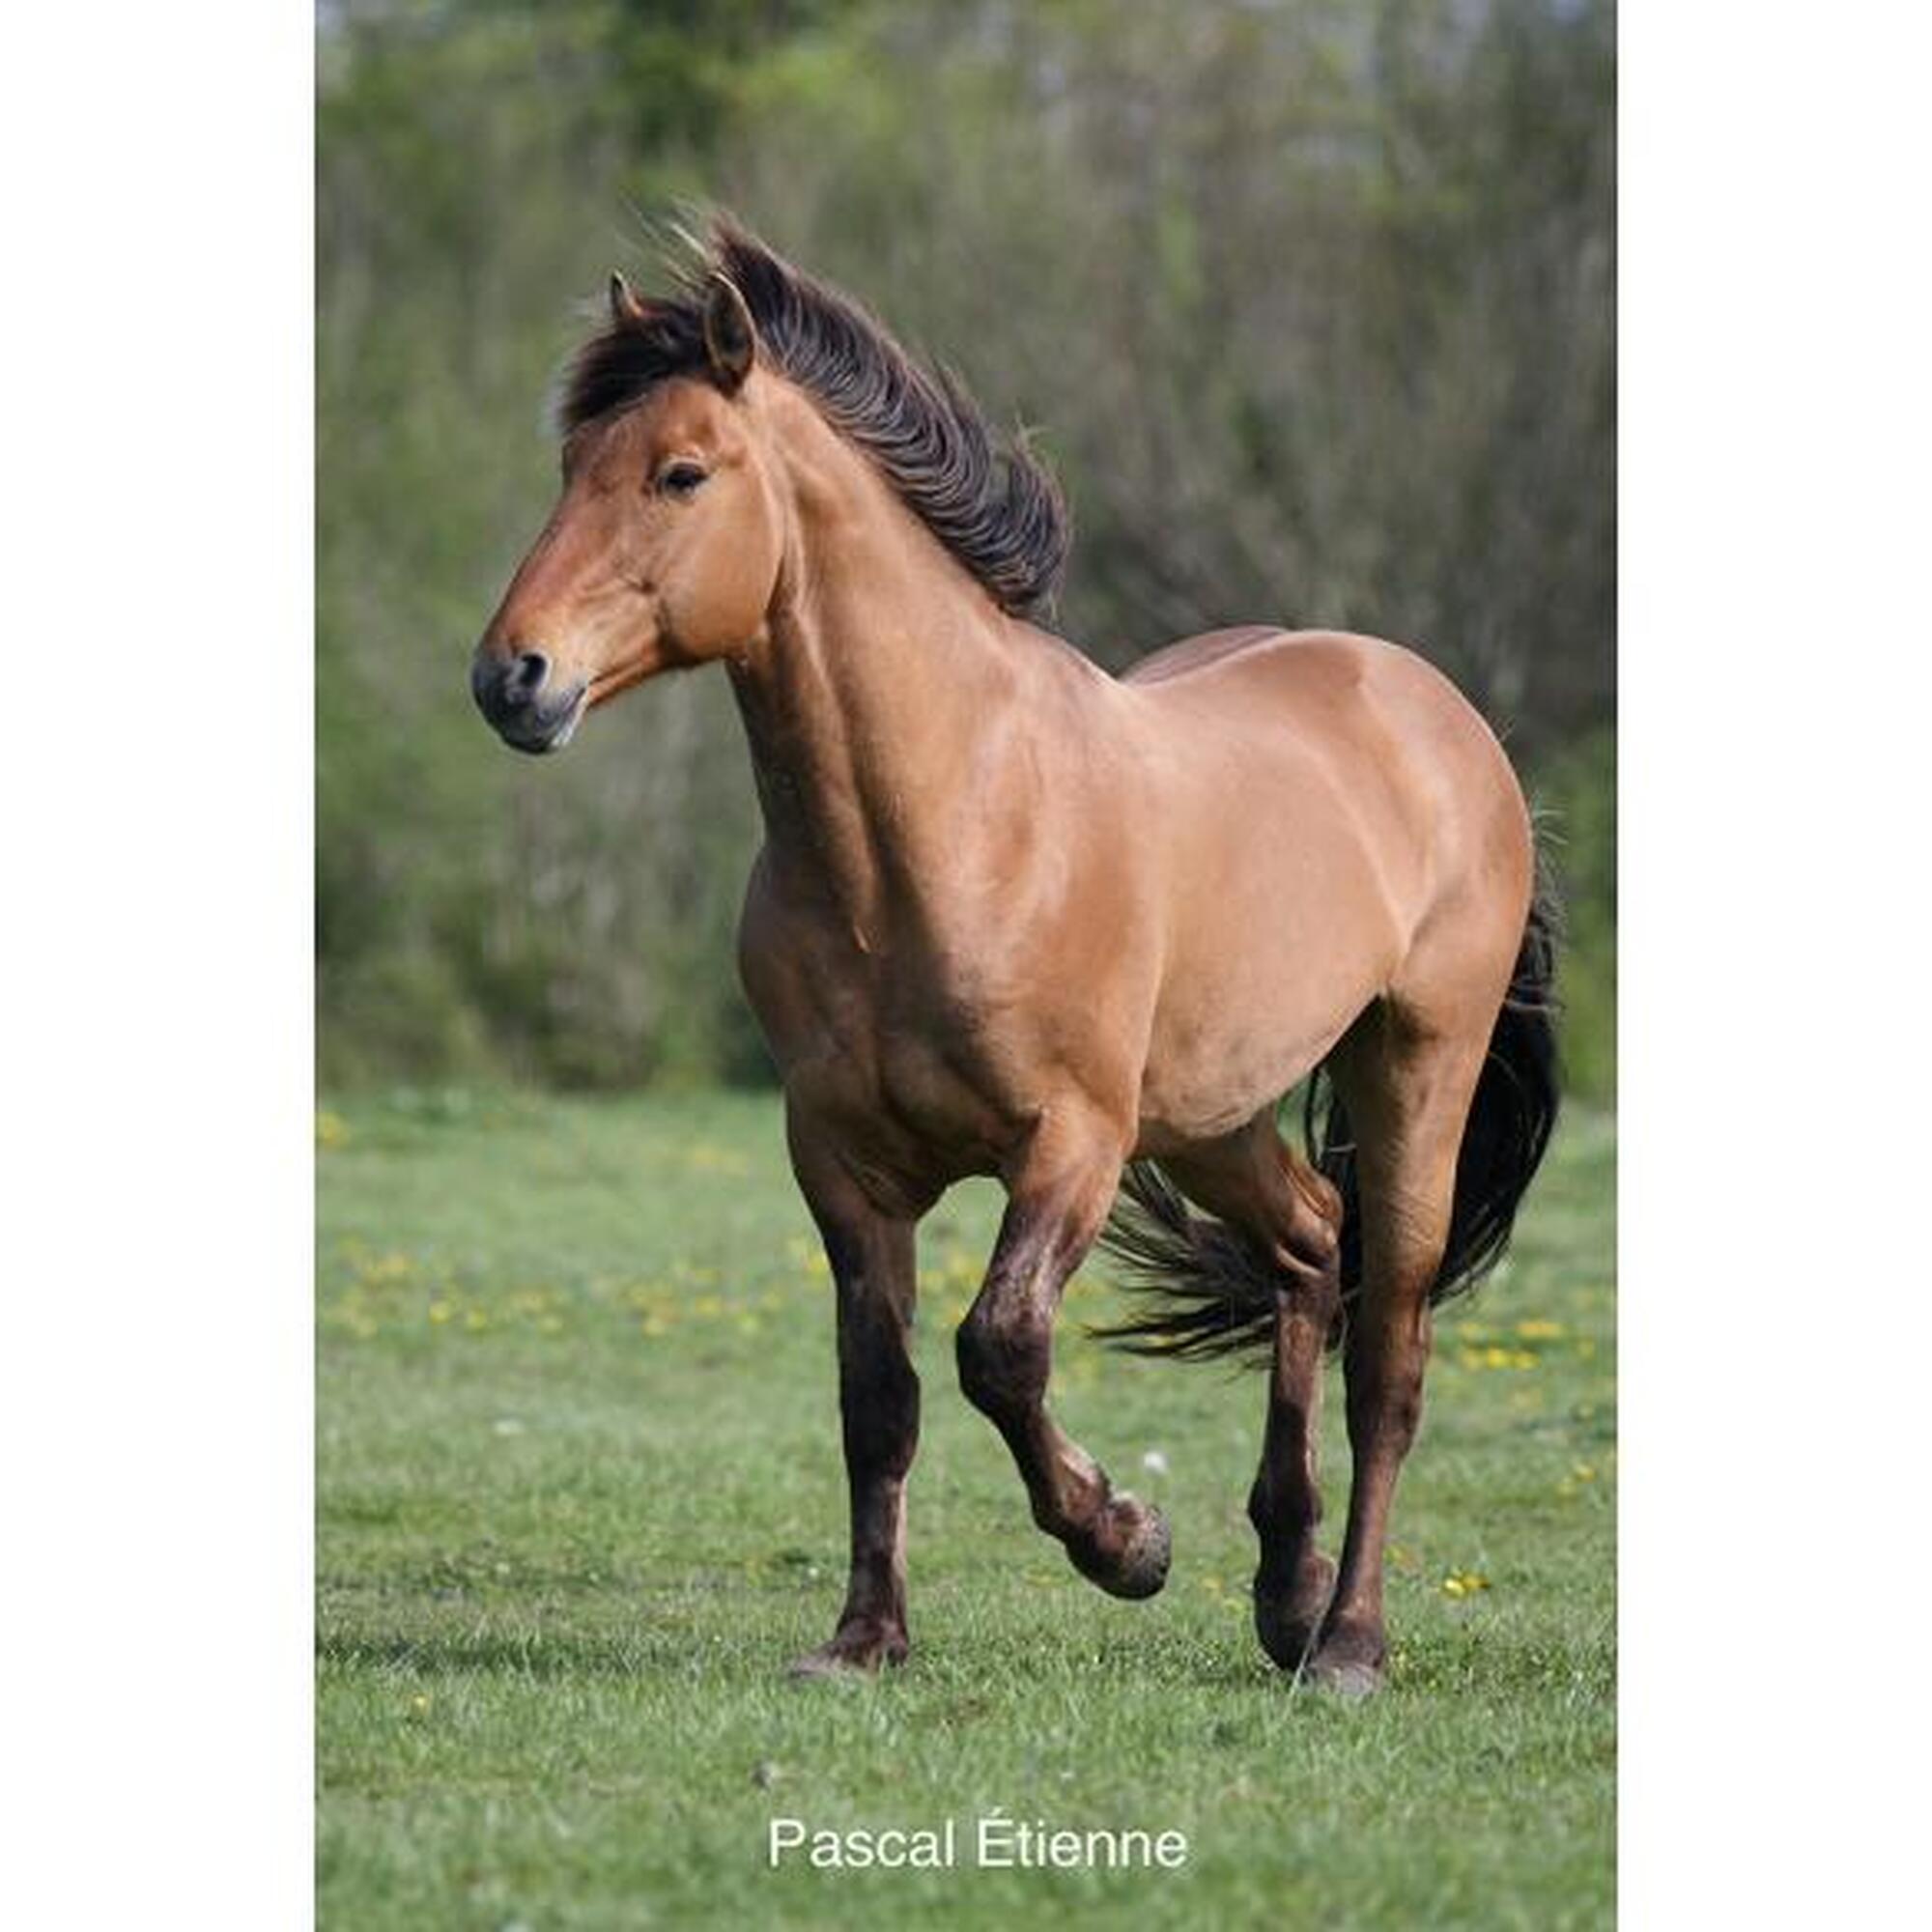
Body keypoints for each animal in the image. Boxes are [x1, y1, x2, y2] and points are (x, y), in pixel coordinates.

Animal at [475, 222, 1561, 1692]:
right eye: (568, 469)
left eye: (679, 473)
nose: (512, 679)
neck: (949, 829)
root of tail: (1438, 715)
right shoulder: (840, 1160)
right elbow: (876, 1394)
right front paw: (863, 1640)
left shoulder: (1069, 1143)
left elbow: (997, 1348)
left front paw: (1128, 1541)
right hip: (1210, 1115)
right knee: (1304, 1251)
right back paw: (1285, 1592)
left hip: (1413, 1066)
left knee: (1387, 1344)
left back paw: (1346, 1644)